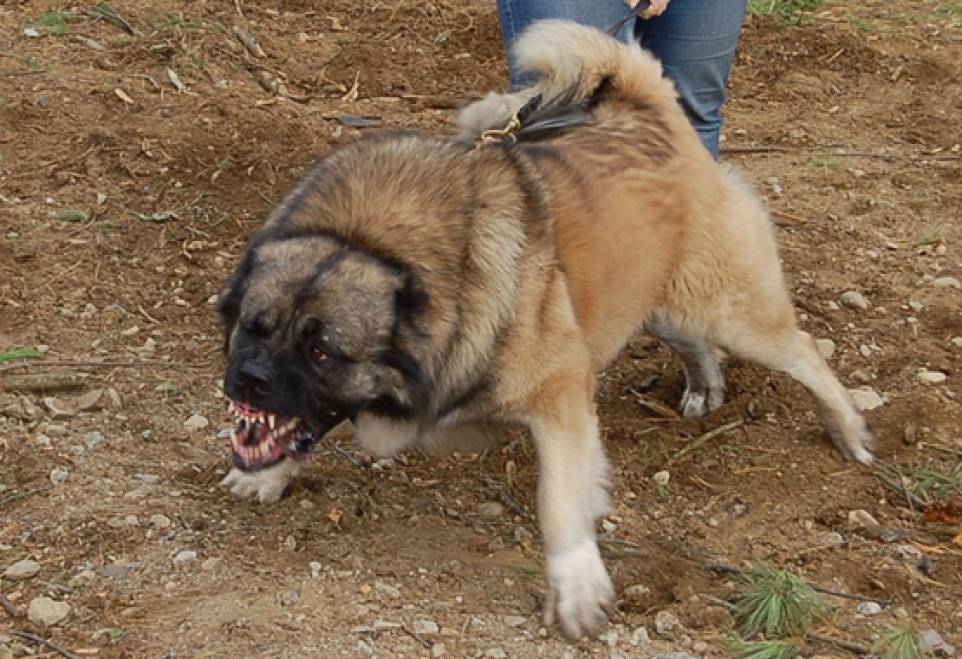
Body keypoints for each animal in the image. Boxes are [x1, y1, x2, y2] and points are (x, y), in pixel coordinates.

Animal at [216, 19, 872, 640]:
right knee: (694, 341)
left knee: (805, 352)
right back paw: (704, 384)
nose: (246, 380)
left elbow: (558, 498)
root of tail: (651, 112)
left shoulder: (560, 393)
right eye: (253, 327)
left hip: (731, 311)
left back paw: (849, 429)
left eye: (323, 351)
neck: (376, 243)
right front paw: (267, 473)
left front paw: (577, 581)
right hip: (654, 300)